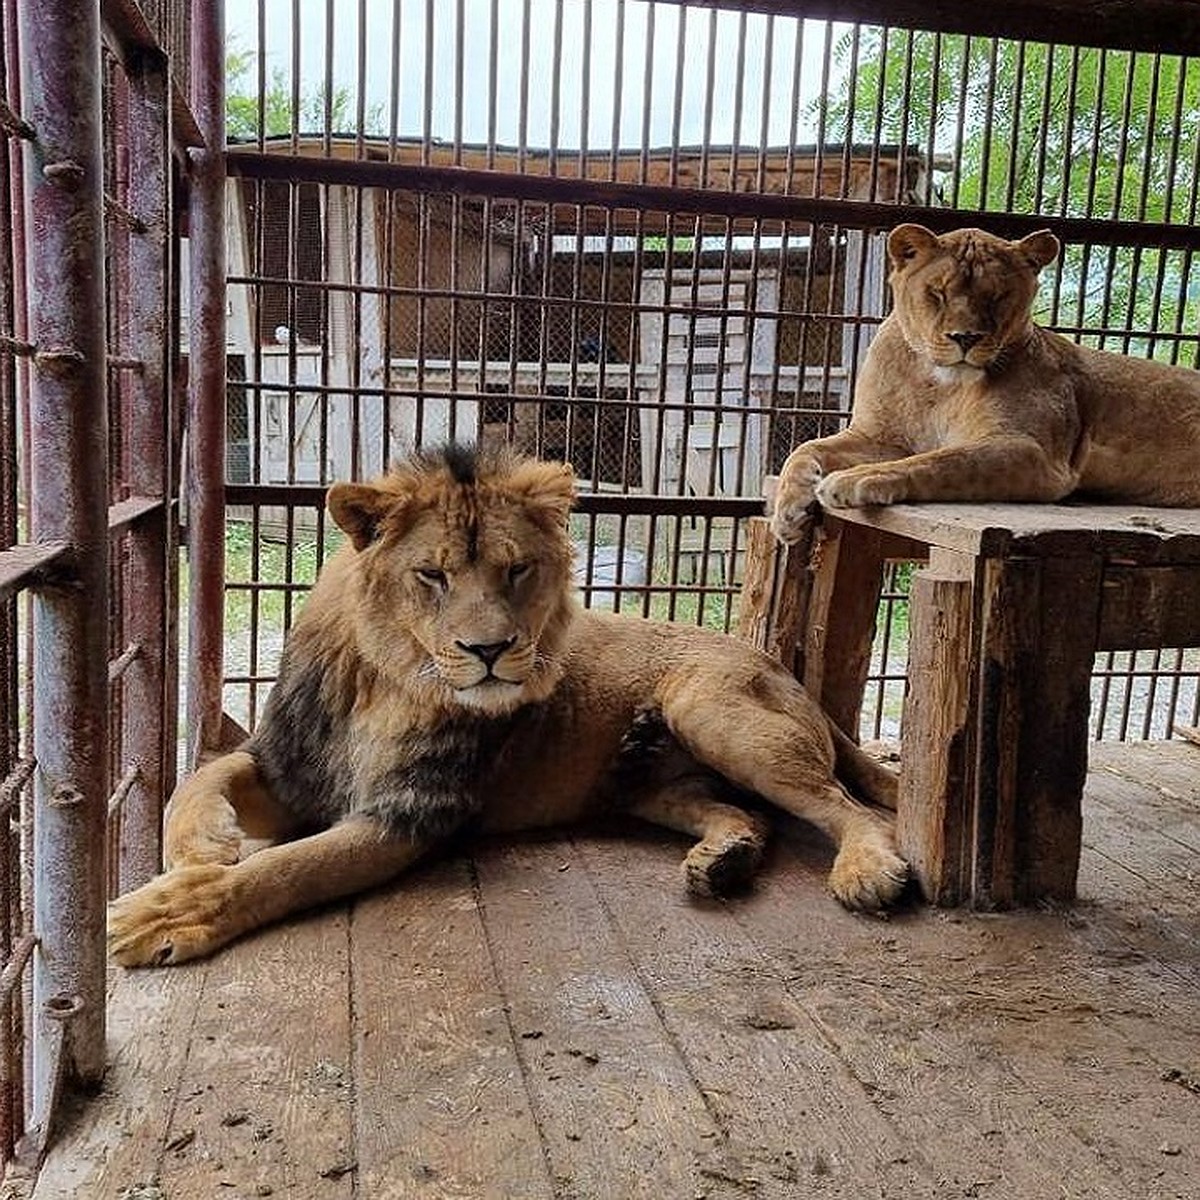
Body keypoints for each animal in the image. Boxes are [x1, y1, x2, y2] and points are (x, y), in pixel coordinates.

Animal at [112, 444, 902, 964]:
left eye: (517, 570)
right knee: (747, 814)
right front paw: (199, 847)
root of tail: (778, 665)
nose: (489, 650)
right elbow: (200, 779)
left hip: (715, 712)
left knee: (852, 808)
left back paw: (867, 870)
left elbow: (286, 869)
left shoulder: (410, 813)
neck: (388, 681)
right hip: (651, 787)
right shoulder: (287, 763)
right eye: (432, 576)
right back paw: (724, 859)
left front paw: (170, 912)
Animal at [768, 222, 1200, 544]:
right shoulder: (881, 436)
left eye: (997, 296)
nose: (965, 337)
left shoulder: (1034, 452)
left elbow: (941, 460)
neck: (938, 386)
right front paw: (789, 510)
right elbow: (805, 449)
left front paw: (857, 479)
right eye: (938, 293)